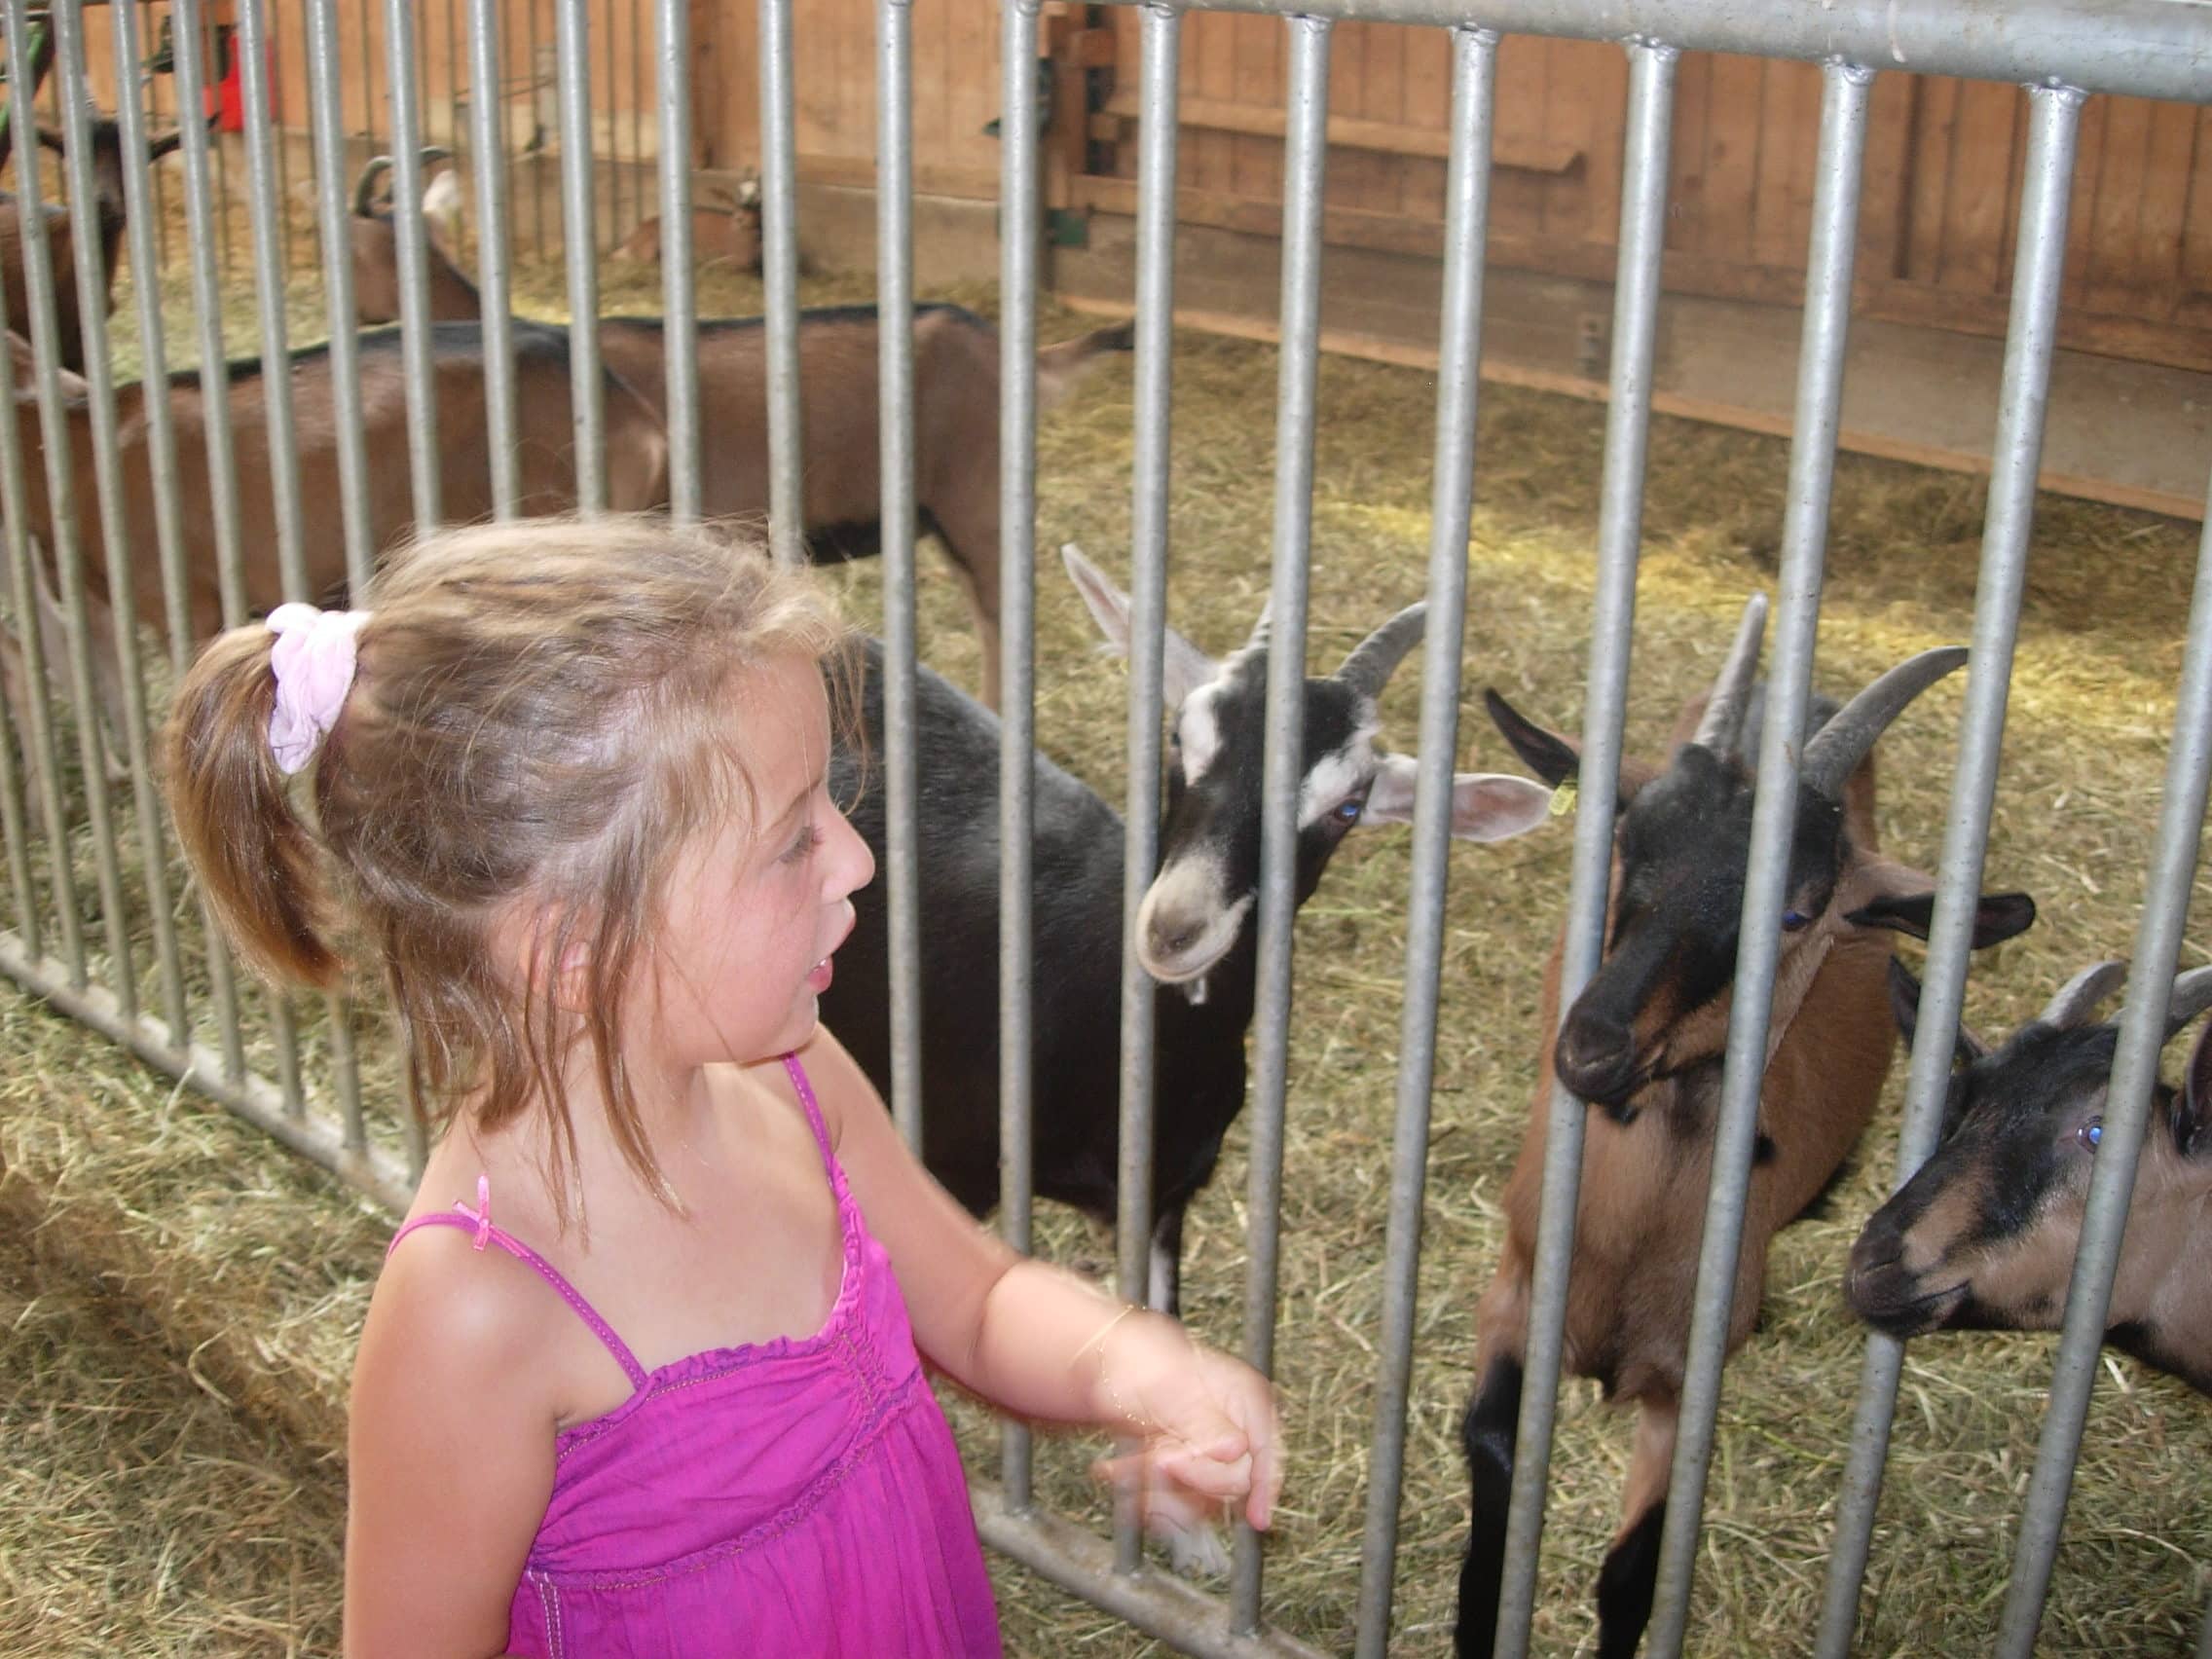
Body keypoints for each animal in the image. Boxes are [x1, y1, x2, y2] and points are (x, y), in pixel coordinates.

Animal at [1451, 597, 2035, 1659]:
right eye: (1624, 841)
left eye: (1797, 914)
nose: (1590, 1046)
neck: (1630, 1239)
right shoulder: (1511, 1299)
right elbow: (1496, 1468)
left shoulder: (1689, 1385)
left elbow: (1631, 1573)